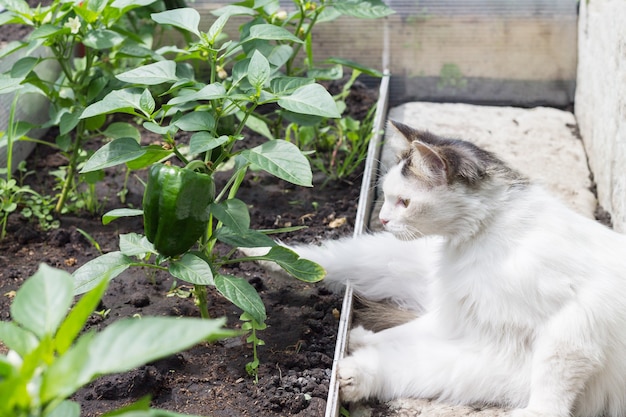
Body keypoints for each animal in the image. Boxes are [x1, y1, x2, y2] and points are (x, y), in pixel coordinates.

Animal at [251, 120, 624, 416]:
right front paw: (365, 341)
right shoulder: (462, 324)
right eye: (386, 197)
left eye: (404, 202)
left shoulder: (570, 324)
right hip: (393, 260)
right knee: (335, 259)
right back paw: (266, 255)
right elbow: (405, 341)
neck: (483, 235)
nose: (383, 219)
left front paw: (539, 413)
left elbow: (551, 382)